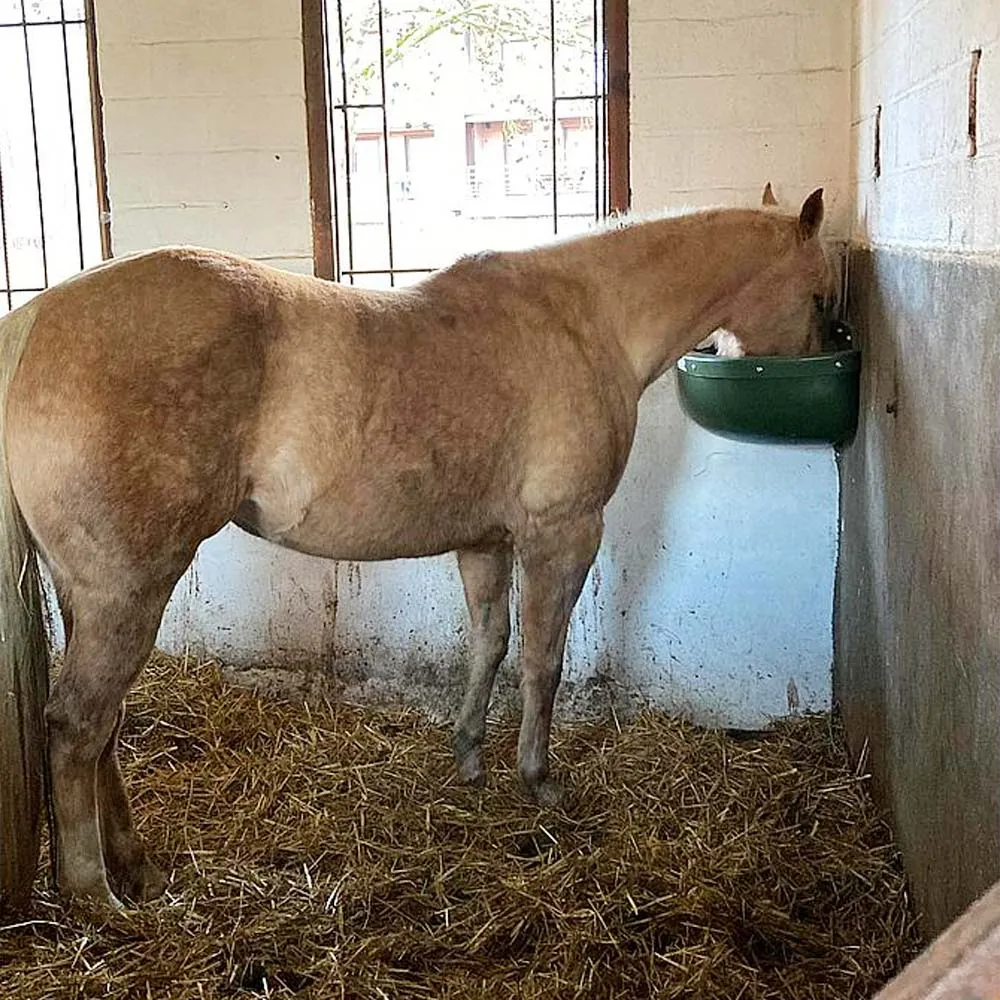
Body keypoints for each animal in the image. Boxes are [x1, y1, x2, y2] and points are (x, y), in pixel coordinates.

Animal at [0, 189, 834, 911]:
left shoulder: (485, 542)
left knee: (104, 726)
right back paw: (95, 895)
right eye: (822, 292)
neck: (585, 316)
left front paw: (469, 757)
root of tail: (35, 319)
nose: (817, 353)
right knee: (78, 726)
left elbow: (489, 643)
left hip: (88, 595)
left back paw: (134, 865)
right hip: (128, 591)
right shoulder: (562, 534)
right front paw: (540, 779)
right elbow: (542, 662)